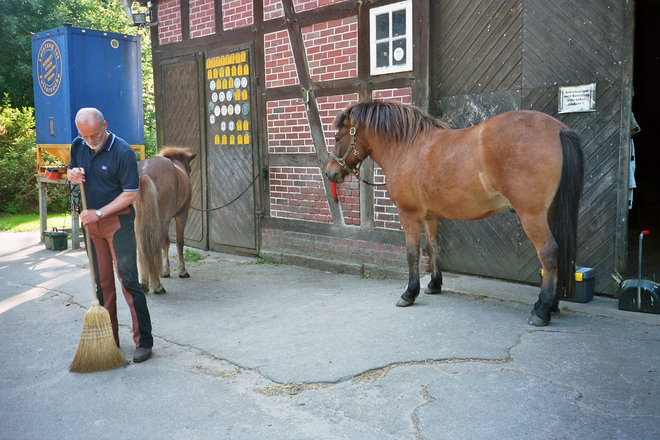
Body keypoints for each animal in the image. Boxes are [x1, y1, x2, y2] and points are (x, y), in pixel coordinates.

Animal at [134, 146, 196, 294]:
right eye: (189, 168)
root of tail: (143, 175)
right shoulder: (181, 215)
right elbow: (179, 242)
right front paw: (182, 271)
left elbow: (166, 243)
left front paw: (165, 271)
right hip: (164, 220)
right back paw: (157, 286)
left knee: (141, 247)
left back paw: (144, 282)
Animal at [326, 100, 584, 326]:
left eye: (338, 137)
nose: (330, 173)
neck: (407, 147)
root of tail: (559, 129)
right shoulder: (431, 216)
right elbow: (433, 248)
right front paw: (434, 285)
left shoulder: (409, 215)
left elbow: (411, 253)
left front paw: (409, 293)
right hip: (549, 213)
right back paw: (547, 305)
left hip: (532, 216)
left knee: (548, 253)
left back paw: (543, 310)